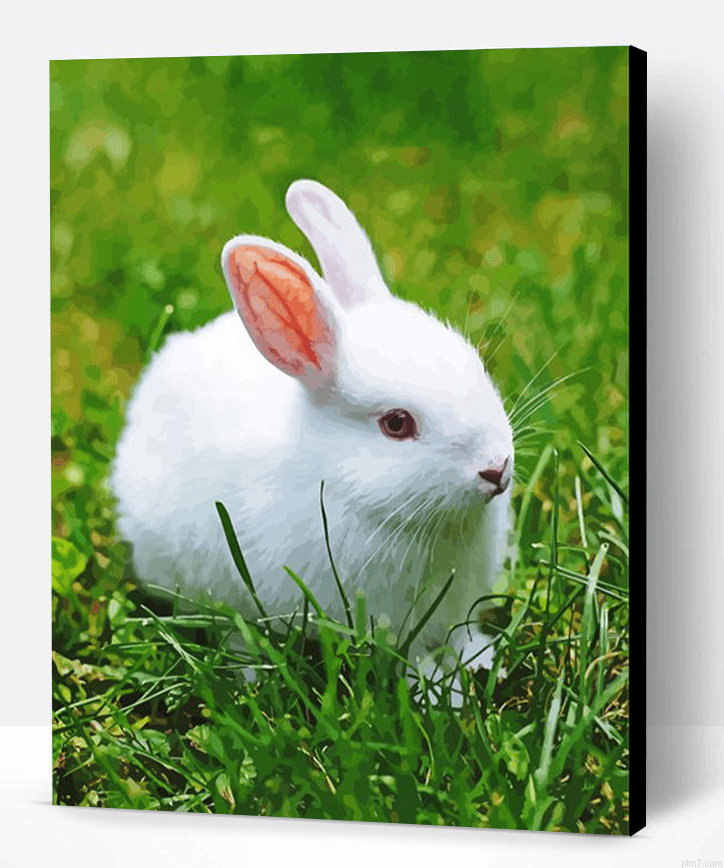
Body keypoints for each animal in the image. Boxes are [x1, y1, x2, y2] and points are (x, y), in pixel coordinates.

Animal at [111, 179, 514, 702]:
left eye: (477, 366)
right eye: (397, 424)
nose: (497, 468)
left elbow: (458, 638)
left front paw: (480, 664)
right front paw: (433, 690)